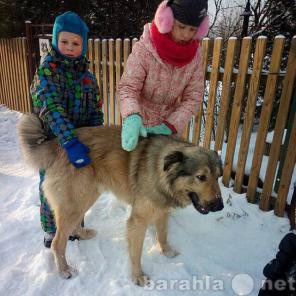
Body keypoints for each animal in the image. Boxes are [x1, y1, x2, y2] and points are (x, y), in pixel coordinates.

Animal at [17, 114, 223, 286]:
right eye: (201, 177)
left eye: (218, 176)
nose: (220, 206)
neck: (161, 170)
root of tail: (59, 144)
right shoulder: (138, 220)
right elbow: (136, 252)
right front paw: (138, 276)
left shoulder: (162, 211)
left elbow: (163, 235)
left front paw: (167, 251)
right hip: (75, 201)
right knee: (57, 243)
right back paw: (65, 270)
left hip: (85, 197)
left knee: (74, 225)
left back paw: (83, 234)